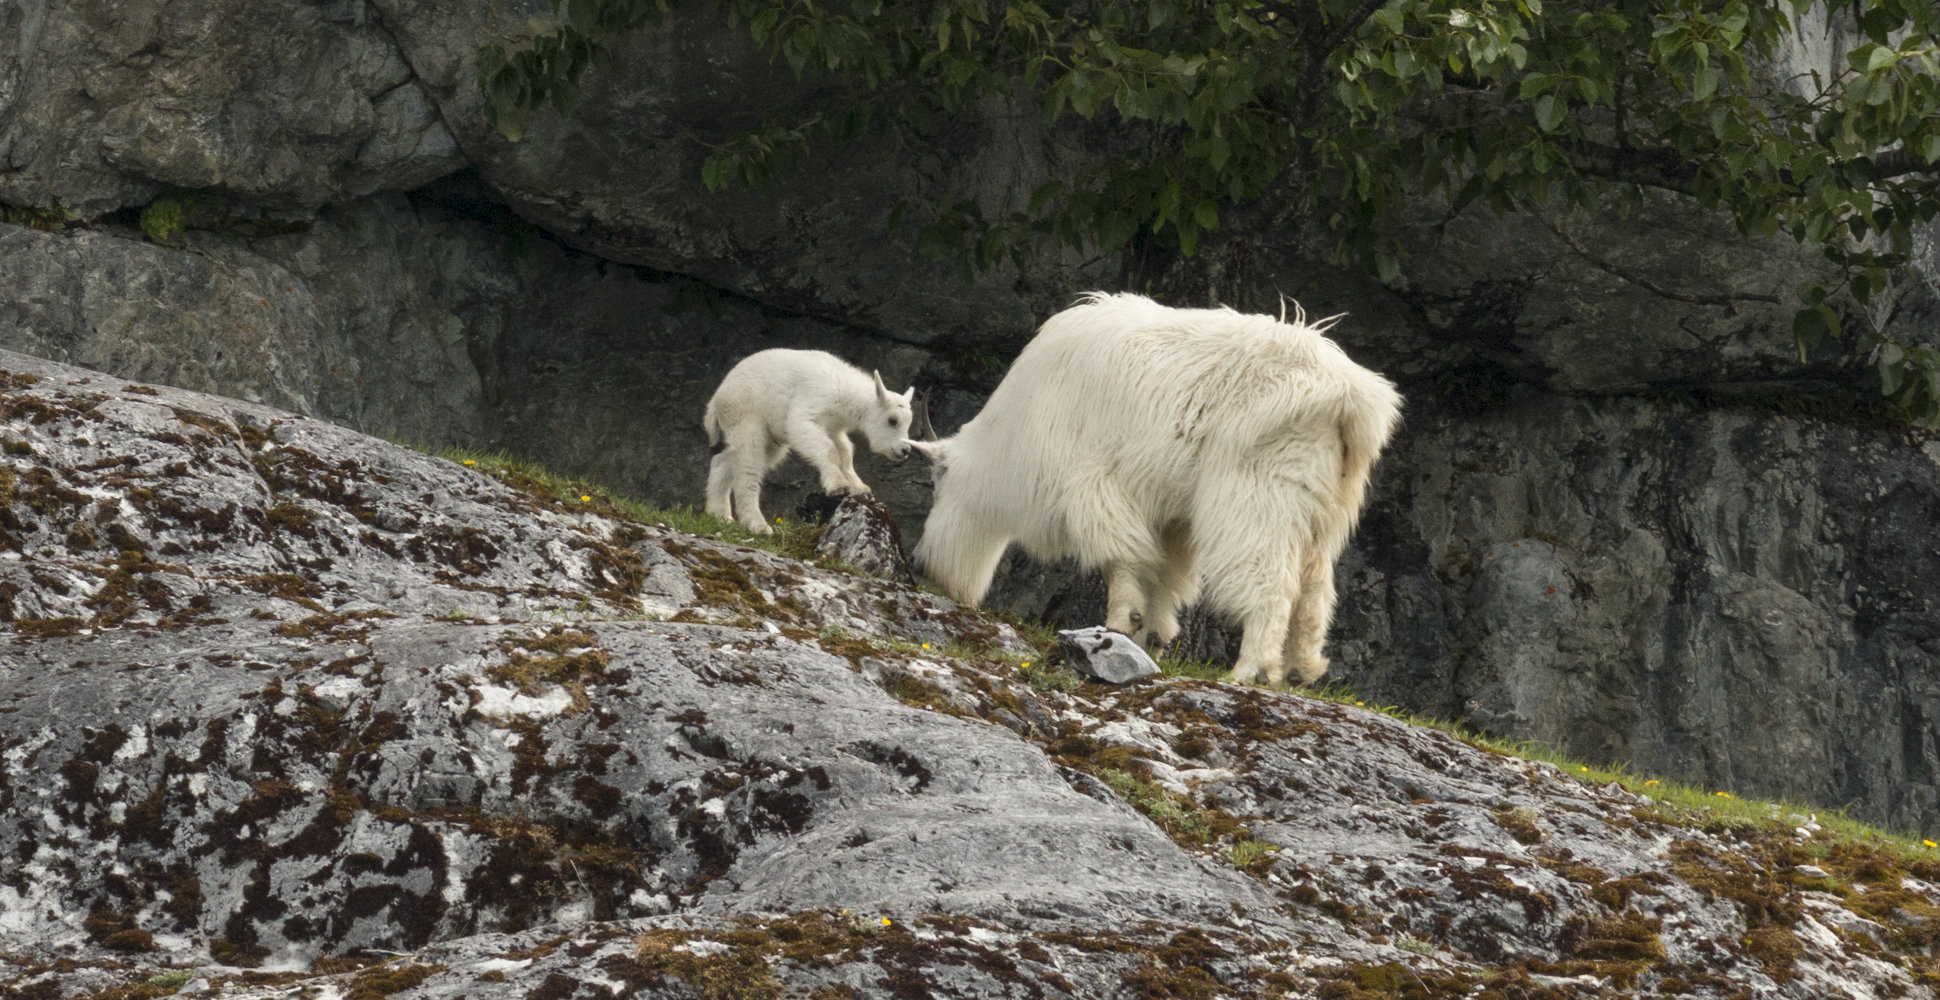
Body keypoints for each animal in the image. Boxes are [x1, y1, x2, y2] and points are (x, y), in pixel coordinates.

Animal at [704, 349, 915, 535]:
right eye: (893, 420)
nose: (904, 450)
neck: (844, 391)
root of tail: (715, 401)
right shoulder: (812, 406)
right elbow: (815, 439)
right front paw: (839, 486)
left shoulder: (833, 427)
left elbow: (845, 451)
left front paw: (861, 489)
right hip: (746, 417)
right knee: (748, 465)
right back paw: (757, 525)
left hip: (767, 434)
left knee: (726, 461)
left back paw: (720, 516)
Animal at [910, 292, 1402, 686]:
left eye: (937, 482)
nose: (921, 562)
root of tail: (1352, 399)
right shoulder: (1169, 515)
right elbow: (1166, 575)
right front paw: (1154, 638)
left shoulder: (1097, 484)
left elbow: (1119, 562)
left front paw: (1118, 629)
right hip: (1326, 507)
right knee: (1315, 588)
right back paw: (1300, 670)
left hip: (1258, 496)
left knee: (1271, 585)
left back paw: (1250, 671)